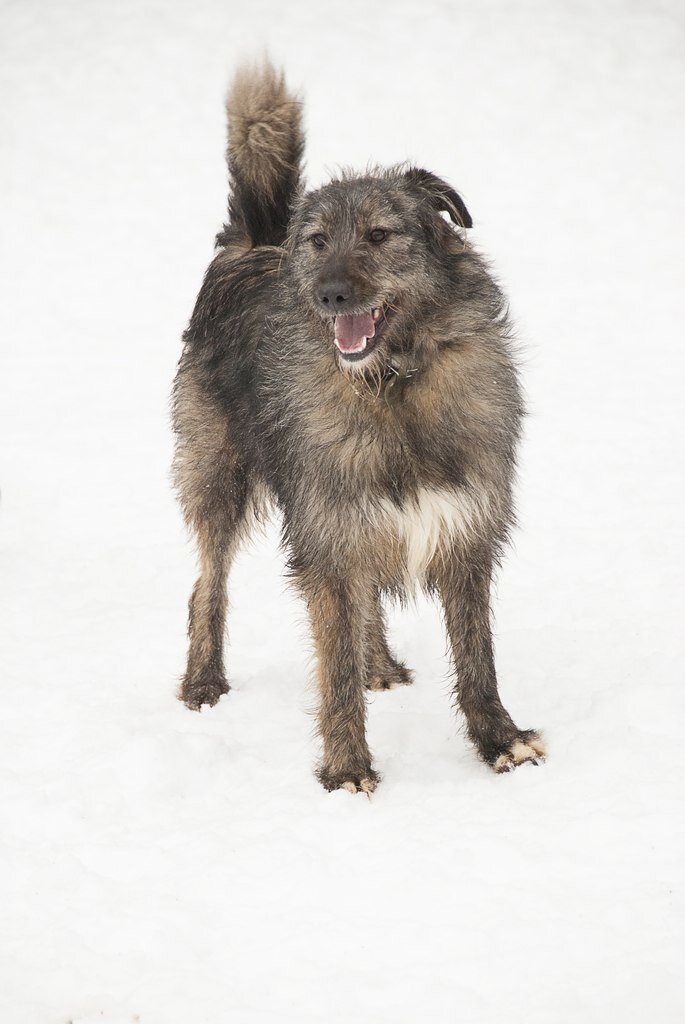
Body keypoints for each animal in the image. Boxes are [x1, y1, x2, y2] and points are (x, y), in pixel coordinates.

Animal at [172, 59, 544, 790]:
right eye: (319, 242)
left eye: (378, 235)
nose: (330, 294)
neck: (391, 384)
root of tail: (251, 243)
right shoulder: (327, 539)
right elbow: (333, 666)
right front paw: (346, 769)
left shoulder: (463, 531)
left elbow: (477, 656)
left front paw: (498, 740)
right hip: (219, 478)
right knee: (208, 584)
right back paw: (203, 681)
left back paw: (381, 664)